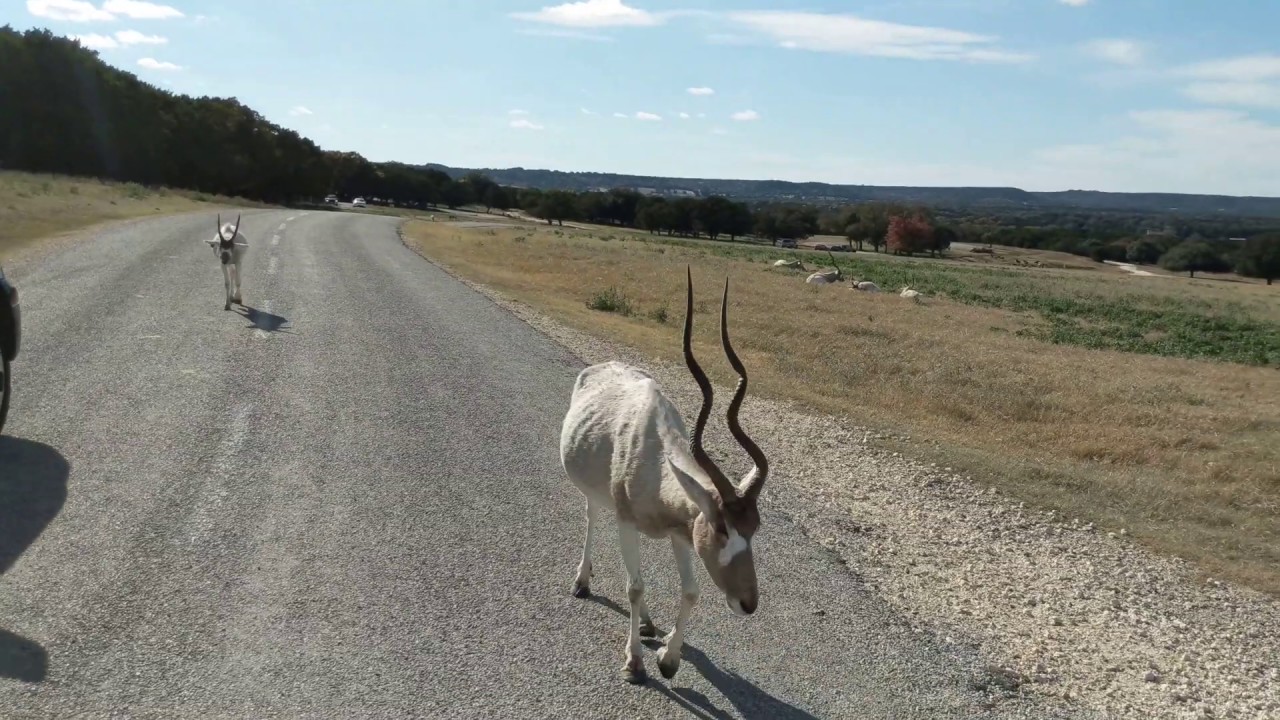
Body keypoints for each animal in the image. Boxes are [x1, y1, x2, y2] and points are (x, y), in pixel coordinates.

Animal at [559, 267, 769, 684]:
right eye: (721, 528)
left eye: (754, 528)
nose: (748, 603)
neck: (657, 462)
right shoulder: (626, 521)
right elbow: (635, 586)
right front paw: (635, 663)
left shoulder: (681, 534)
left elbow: (690, 591)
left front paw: (668, 657)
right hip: (596, 498)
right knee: (592, 519)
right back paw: (582, 582)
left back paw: (647, 624)